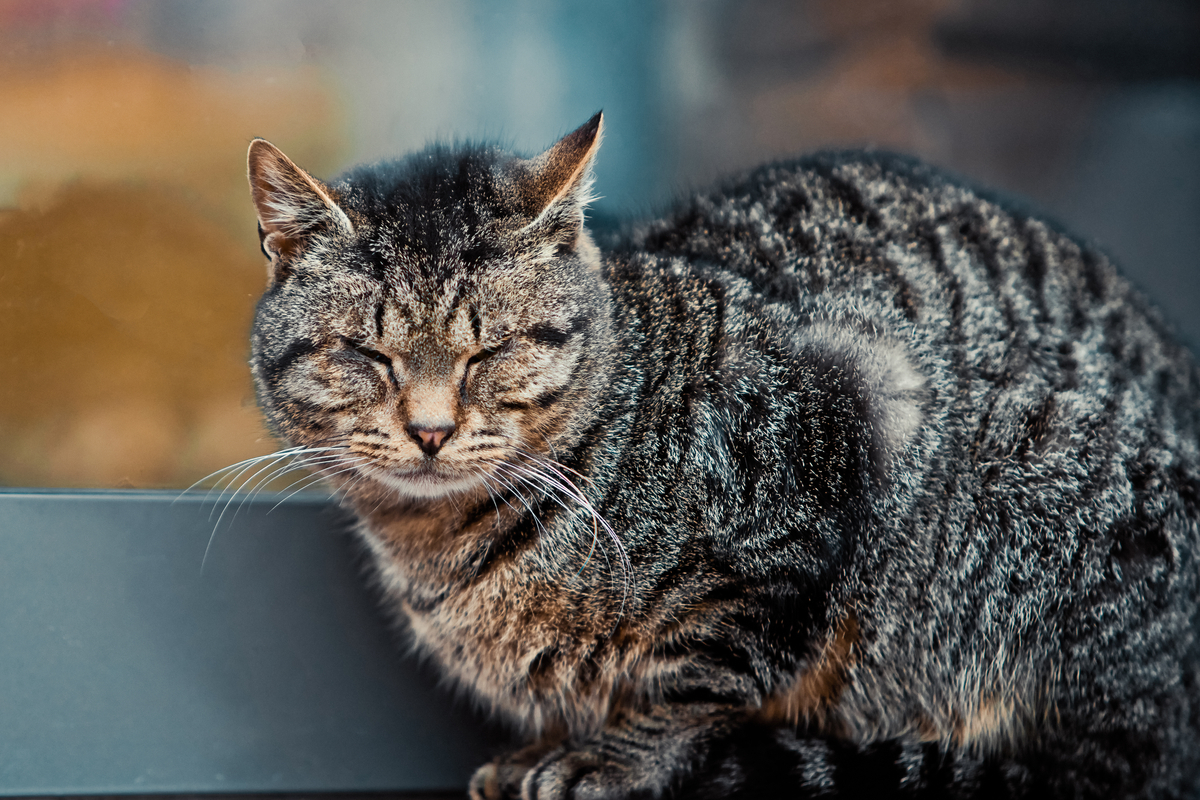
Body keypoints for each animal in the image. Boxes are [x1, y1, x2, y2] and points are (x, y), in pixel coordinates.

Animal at [241, 113, 1200, 800]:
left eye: (492, 351)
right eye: (368, 355)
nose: (432, 430)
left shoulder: (843, 416)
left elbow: (702, 676)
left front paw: (616, 758)